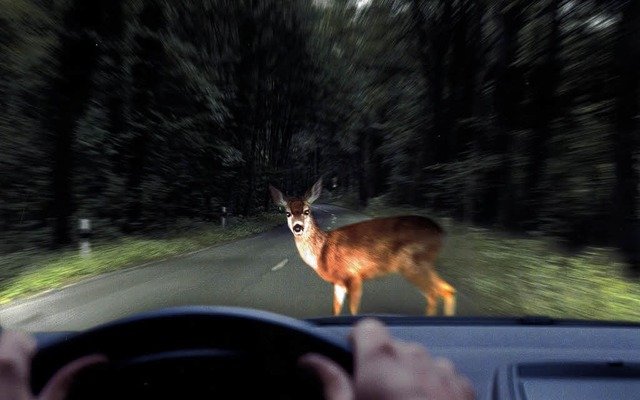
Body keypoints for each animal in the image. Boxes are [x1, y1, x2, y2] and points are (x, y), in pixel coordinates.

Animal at [268, 178, 456, 316]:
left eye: (307, 211)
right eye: (288, 213)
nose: (297, 227)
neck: (323, 252)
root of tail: (441, 232)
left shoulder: (353, 275)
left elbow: (353, 310)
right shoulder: (338, 282)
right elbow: (335, 309)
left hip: (411, 263)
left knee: (434, 293)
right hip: (424, 264)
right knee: (448, 290)